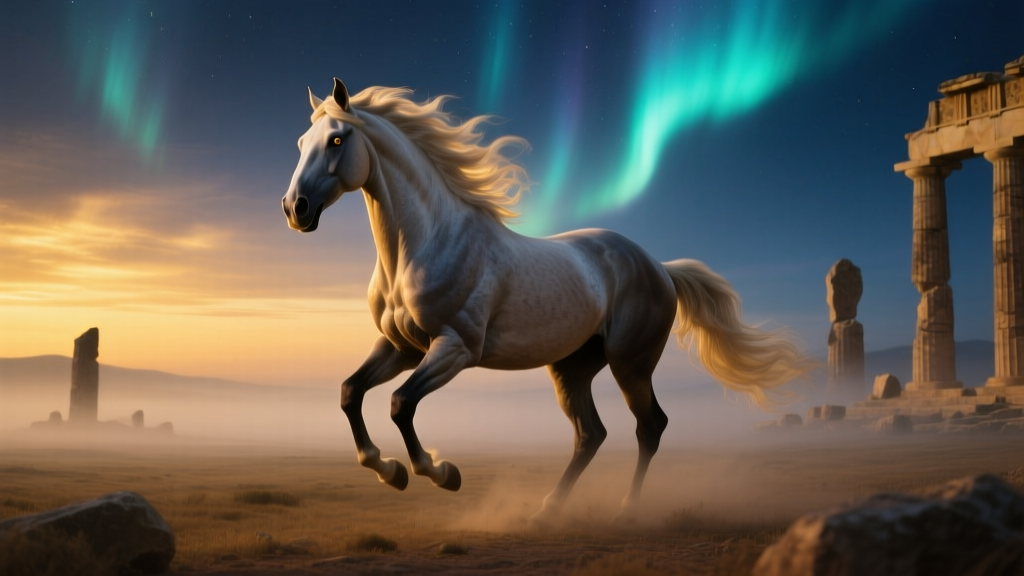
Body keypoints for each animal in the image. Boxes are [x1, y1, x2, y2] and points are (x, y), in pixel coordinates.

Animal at [281, 78, 814, 524]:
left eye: (336, 140)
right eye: (301, 143)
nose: (295, 209)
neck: (428, 242)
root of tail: (660, 267)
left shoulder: (455, 348)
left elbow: (399, 404)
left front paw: (442, 472)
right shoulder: (401, 348)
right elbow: (351, 393)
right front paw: (389, 470)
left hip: (631, 363)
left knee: (649, 426)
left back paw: (626, 508)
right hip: (572, 367)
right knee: (590, 434)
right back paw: (546, 510)